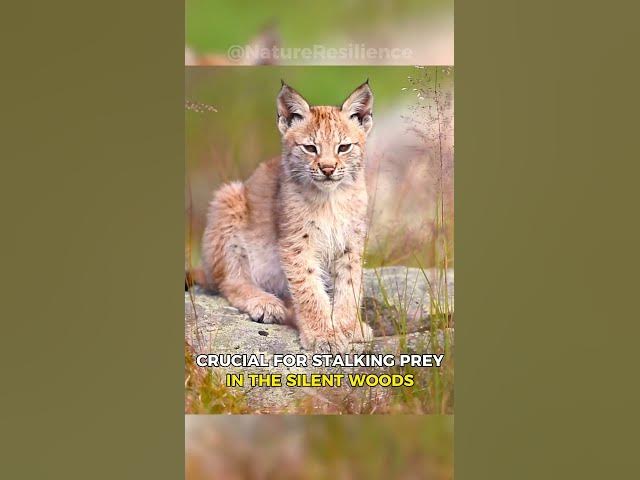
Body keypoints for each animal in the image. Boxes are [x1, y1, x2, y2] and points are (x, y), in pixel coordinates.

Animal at [202, 81, 376, 352]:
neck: (331, 198)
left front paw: (349, 327)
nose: (328, 169)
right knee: (229, 281)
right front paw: (324, 335)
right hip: (229, 197)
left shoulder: (352, 242)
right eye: (310, 148)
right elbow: (309, 288)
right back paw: (266, 303)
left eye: (344, 147)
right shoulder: (297, 242)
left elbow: (350, 284)